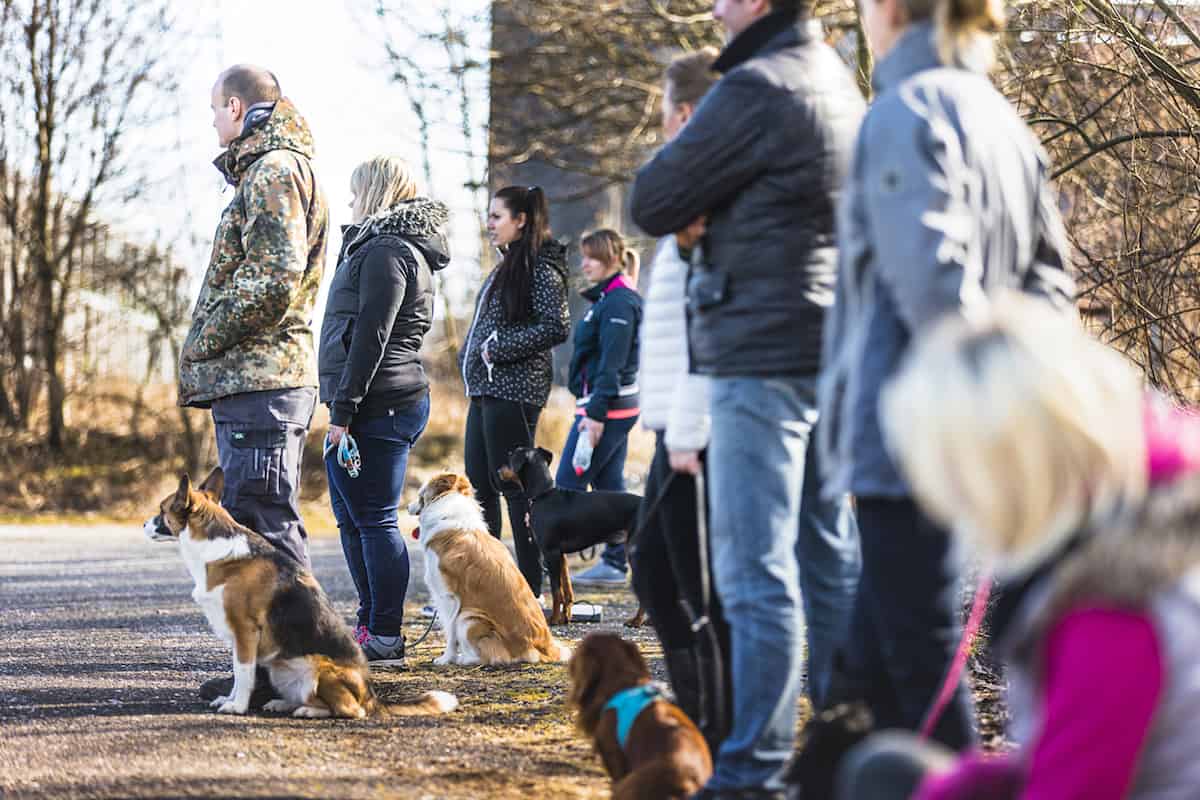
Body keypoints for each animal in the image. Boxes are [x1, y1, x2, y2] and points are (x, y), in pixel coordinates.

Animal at [141, 470, 458, 719]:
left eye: (161, 510)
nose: (143, 524)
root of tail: (372, 697)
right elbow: (239, 673)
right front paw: (230, 698)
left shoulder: (245, 632)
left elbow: (243, 674)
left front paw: (237, 706)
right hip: (280, 671)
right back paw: (284, 703)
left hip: (322, 671)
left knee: (349, 710)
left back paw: (307, 710)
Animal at [408, 472, 571, 666]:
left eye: (420, 495)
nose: (407, 506)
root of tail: (543, 649)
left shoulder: (448, 598)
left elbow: (450, 634)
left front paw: (446, 658)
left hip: (468, 618)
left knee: (490, 656)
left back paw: (465, 659)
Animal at [499, 443, 648, 623]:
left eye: (509, 457)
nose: (498, 471)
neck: (543, 495)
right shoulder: (561, 555)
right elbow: (567, 589)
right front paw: (565, 617)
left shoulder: (550, 553)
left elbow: (556, 591)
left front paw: (554, 619)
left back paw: (636, 621)